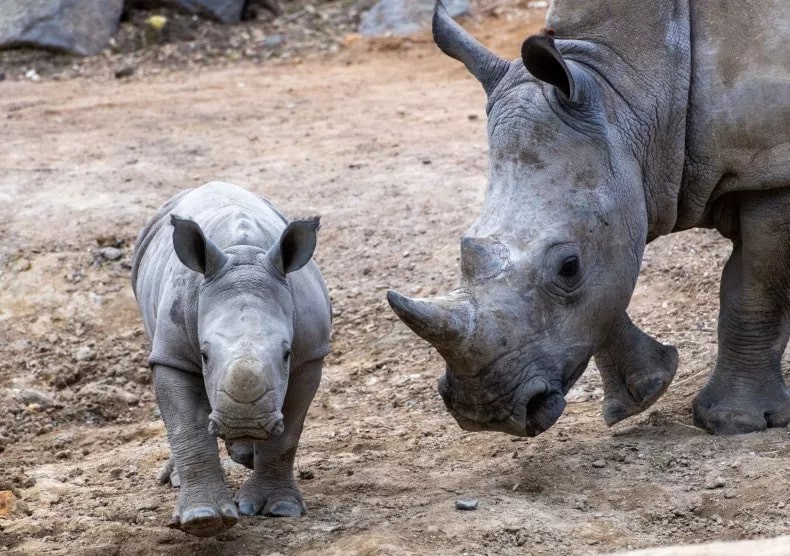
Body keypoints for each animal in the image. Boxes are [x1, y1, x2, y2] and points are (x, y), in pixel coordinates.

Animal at [133, 184, 332, 540]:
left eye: (286, 354)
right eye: (204, 355)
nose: (245, 423)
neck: (244, 253)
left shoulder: (310, 355)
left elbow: (289, 433)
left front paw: (278, 509)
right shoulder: (173, 356)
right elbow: (187, 426)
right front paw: (202, 520)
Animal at [386, 0, 788, 436]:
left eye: (569, 267)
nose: (484, 414)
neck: (632, 87)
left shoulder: (773, 171)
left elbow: (753, 289)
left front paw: (734, 423)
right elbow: (606, 290)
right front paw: (643, 394)